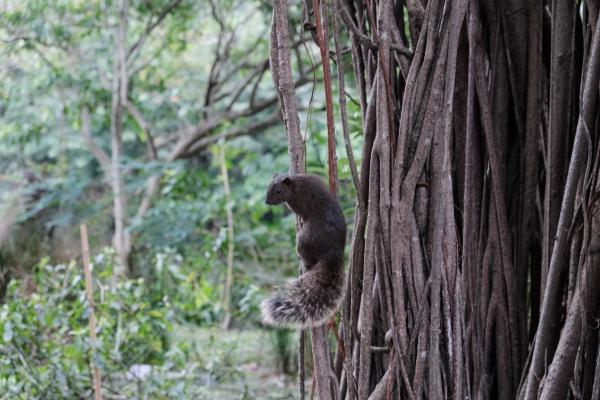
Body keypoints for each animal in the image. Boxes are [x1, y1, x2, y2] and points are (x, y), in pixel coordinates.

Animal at [258, 173, 346, 328]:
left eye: (278, 191)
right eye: (268, 186)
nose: (267, 202)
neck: (295, 184)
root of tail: (334, 252)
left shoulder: (300, 203)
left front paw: (300, 220)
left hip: (305, 240)